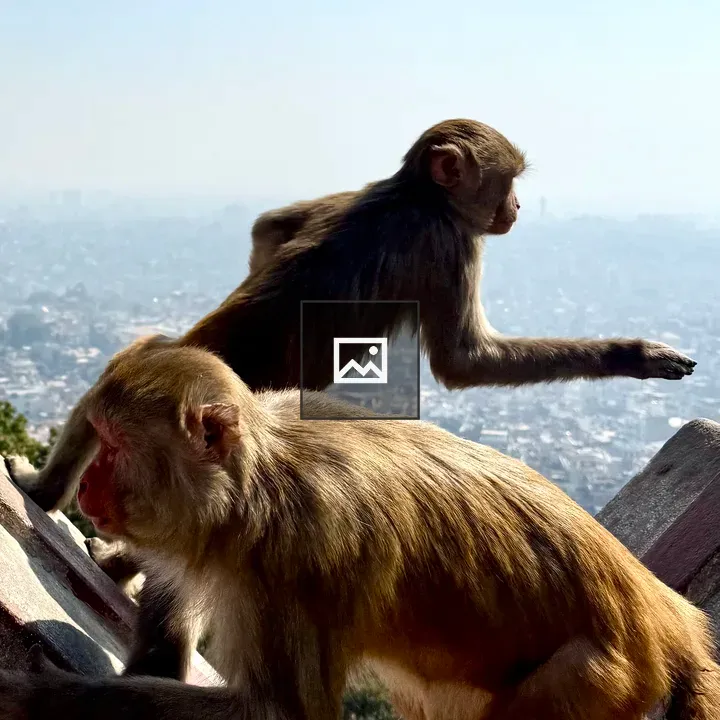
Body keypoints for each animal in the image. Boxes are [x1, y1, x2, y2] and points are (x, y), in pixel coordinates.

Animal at [0, 339, 717, 720]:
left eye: (117, 447)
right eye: (99, 437)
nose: (86, 490)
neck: (257, 490)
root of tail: (669, 620)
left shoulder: (301, 561)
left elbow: (276, 713)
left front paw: (46, 696)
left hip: (591, 679)